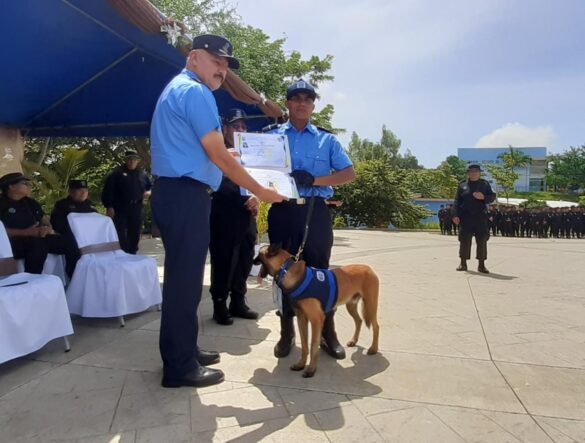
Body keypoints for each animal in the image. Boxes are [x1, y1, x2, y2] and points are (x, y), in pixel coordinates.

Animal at [254, 246, 380, 378]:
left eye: (259, 254)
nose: (252, 260)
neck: (287, 270)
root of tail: (368, 268)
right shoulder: (301, 318)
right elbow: (304, 345)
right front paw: (301, 364)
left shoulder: (316, 320)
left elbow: (313, 346)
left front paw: (311, 369)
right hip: (351, 305)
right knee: (359, 321)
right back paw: (354, 341)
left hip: (370, 305)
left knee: (376, 326)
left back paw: (373, 348)